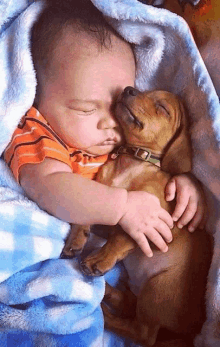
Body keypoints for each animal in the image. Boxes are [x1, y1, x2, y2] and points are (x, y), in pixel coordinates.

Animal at [62, 86, 211, 346]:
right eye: (146, 90)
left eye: (162, 108)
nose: (128, 89)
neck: (133, 162)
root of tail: (189, 332)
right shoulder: (109, 205)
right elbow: (90, 215)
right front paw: (76, 239)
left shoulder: (151, 219)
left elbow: (120, 237)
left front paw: (100, 259)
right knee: (131, 308)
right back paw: (110, 294)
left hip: (159, 288)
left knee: (142, 334)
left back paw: (105, 313)